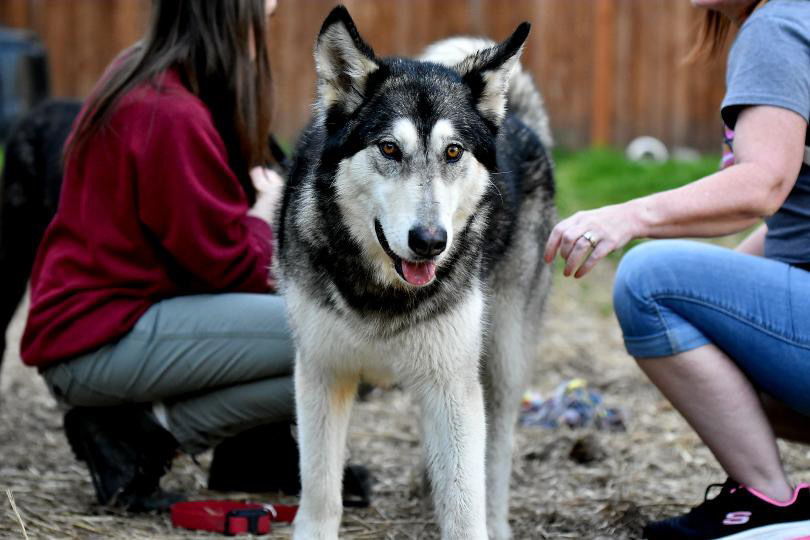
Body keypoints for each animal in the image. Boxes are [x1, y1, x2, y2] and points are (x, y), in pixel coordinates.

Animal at [280, 5, 556, 540]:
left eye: (453, 152)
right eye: (389, 149)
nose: (430, 241)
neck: (382, 293)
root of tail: (517, 117)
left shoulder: (451, 385)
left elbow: (466, 508)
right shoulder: (322, 374)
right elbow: (321, 493)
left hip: (502, 362)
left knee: (495, 459)